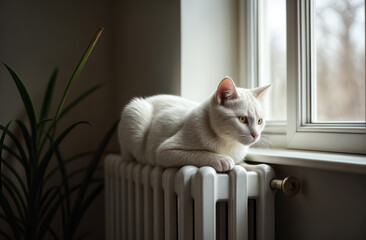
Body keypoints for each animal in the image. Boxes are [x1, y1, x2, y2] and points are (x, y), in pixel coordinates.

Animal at [118, 77, 270, 172]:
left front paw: (255, 167)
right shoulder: (164, 151)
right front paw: (222, 159)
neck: (230, 144)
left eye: (259, 121)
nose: (256, 135)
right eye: (242, 119)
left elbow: (241, 163)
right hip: (136, 110)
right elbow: (200, 154)